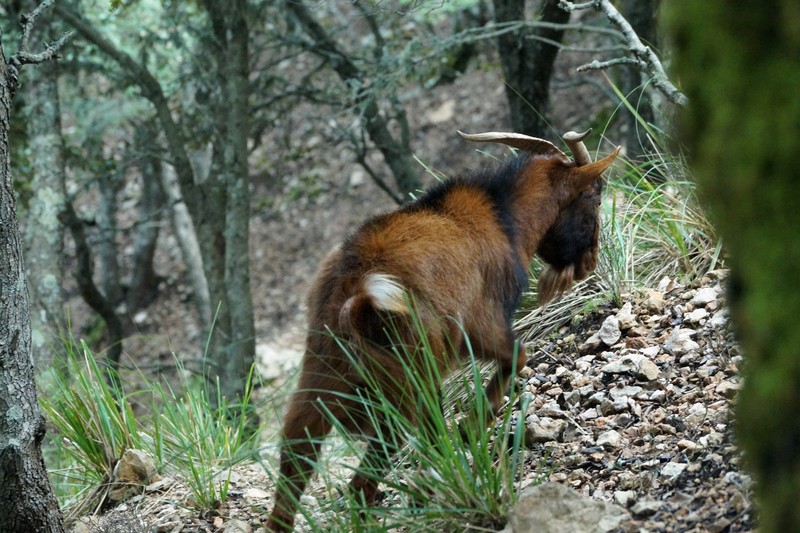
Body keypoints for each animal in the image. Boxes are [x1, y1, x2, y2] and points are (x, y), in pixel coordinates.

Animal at [266, 130, 619, 531]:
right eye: (594, 196)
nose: (589, 262)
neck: (500, 216)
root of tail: (356, 295)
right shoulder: (482, 323)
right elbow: (518, 355)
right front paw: (471, 426)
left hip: (320, 379)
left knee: (296, 463)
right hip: (406, 386)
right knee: (362, 482)